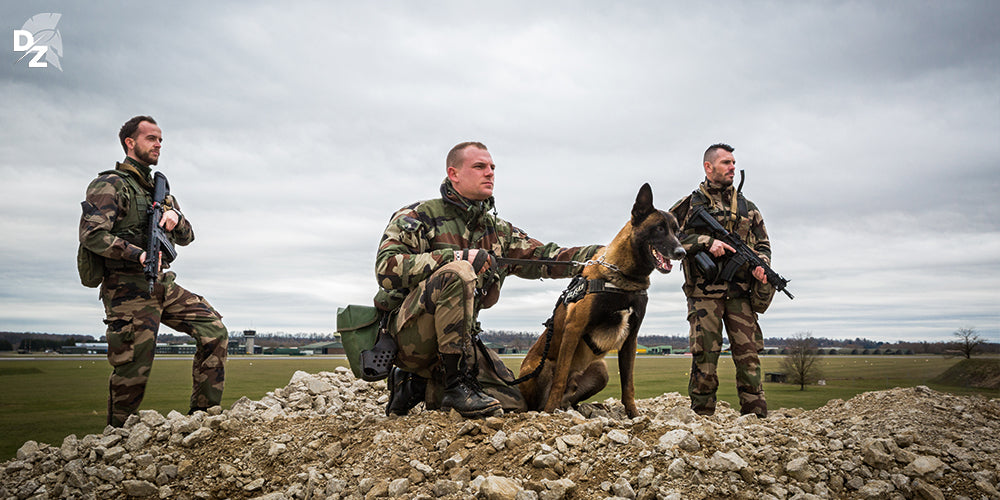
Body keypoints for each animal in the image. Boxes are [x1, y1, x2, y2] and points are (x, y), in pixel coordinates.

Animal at [516, 184, 688, 418]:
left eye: (677, 231)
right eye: (659, 228)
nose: (682, 252)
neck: (624, 277)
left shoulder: (631, 339)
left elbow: (628, 384)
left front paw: (633, 414)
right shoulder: (573, 329)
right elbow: (560, 378)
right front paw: (551, 411)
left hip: (601, 369)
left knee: (571, 397)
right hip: (542, 366)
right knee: (546, 396)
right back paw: (551, 408)